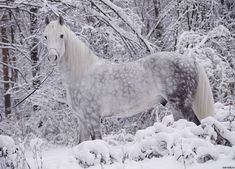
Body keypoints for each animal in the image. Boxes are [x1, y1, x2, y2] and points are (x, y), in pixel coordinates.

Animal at [43, 15, 214, 143]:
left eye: (61, 35)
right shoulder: (82, 120)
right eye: (45, 36)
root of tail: (190, 61)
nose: (52, 57)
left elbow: (97, 141)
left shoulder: (93, 118)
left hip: (182, 106)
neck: (83, 74)